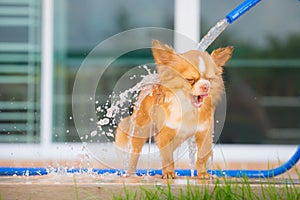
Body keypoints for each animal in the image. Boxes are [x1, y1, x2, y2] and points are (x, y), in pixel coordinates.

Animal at [113, 39, 233, 178]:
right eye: (190, 79)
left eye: (209, 79)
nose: (206, 86)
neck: (188, 108)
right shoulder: (165, 134)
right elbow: (167, 158)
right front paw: (169, 173)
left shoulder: (204, 133)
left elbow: (202, 157)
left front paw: (202, 173)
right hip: (141, 130)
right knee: (135, 154)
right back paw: (130, 173)